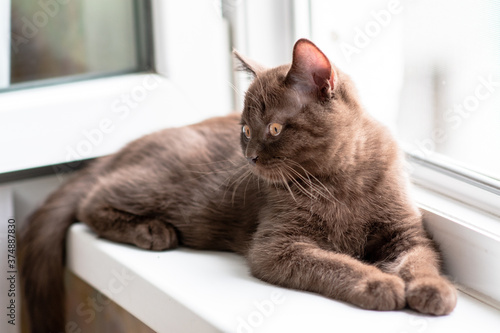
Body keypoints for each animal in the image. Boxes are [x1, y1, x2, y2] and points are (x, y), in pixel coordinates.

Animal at [19, 39, 458, 332]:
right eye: (245, 130)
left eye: (275, 129)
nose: (249, 157)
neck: (342, 179)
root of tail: (126, 147)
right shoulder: (277, 247)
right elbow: (333, 263)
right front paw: (379, 282)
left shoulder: (405, 230)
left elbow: (420, 259)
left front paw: (433, 291)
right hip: (160, 183)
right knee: (92, 198)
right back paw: (151, 230)